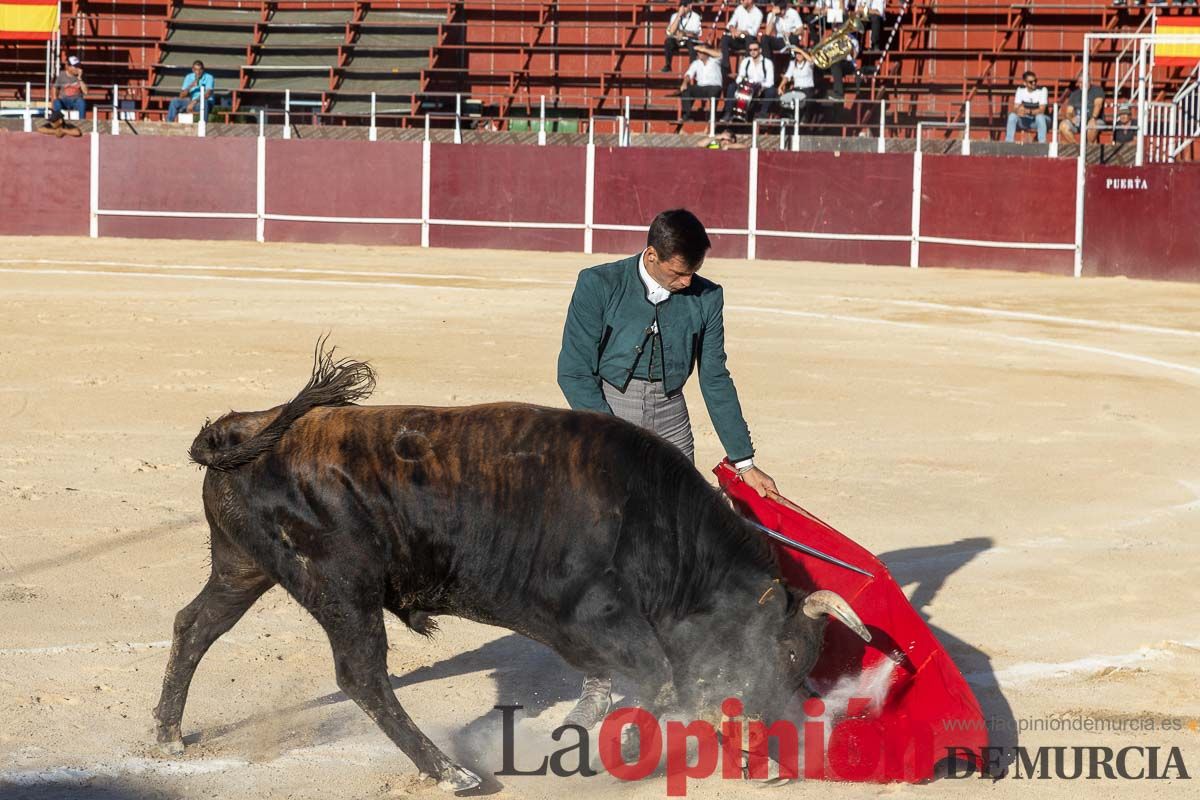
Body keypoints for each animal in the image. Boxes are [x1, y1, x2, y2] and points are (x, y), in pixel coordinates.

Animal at [157, 347, 873, 791]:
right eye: (788, 653)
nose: (781, 744)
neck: (658, 523)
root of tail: (244, 430)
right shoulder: (596, 615)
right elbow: (658, 681)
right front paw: (615, 756)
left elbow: (622, 685)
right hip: (340, 586)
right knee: (361, 676)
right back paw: (454, 773)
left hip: (243, 567)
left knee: (194, 626)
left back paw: (166, 736)